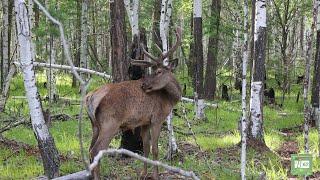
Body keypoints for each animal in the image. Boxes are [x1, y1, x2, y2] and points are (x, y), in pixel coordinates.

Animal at [85, 27, 182, 179]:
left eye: (159, 71)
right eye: (155, 70)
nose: (143, 85)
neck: (169, 99)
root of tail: (91, 97)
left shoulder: (145, 122)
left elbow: (146, 148)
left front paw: (143, 174)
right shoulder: (157, 118)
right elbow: (155, 149)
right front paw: (156, 175)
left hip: (95, 124)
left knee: (90, 148)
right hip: (110, 123)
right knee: (95, 150)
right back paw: (98, 177)